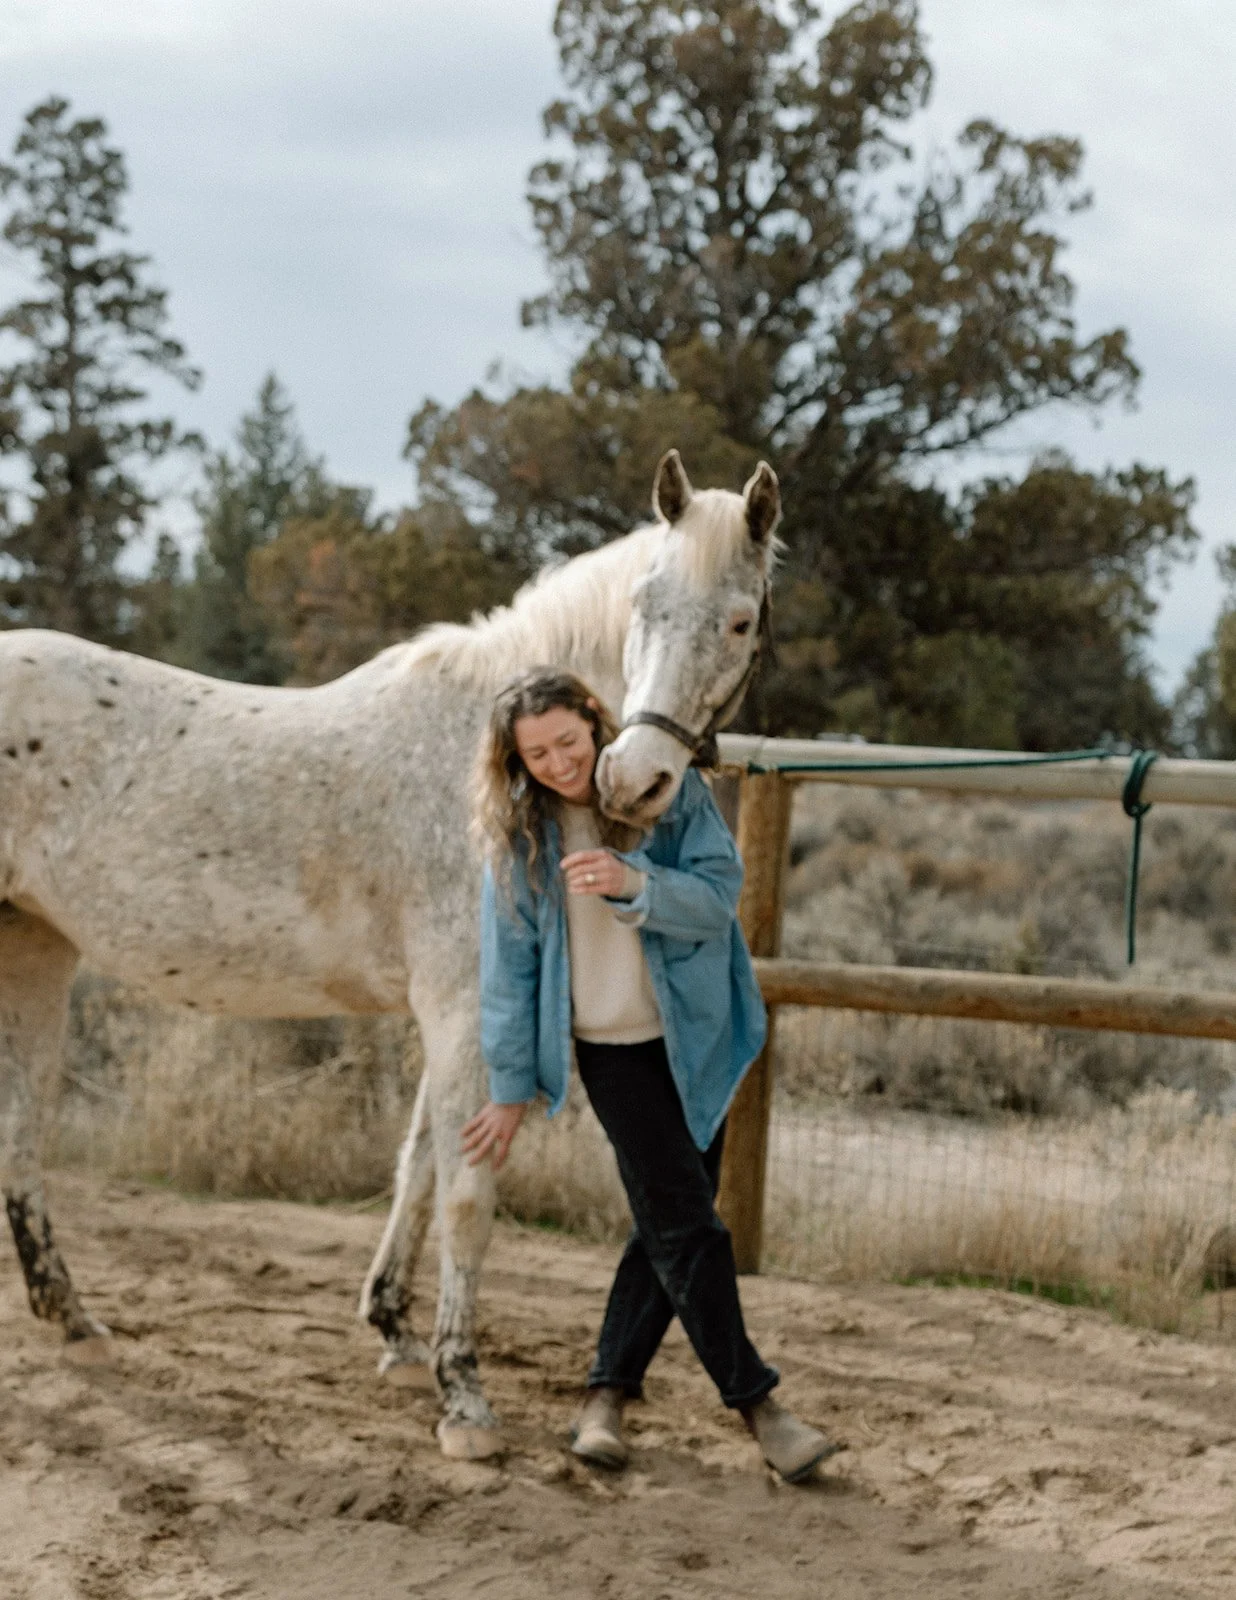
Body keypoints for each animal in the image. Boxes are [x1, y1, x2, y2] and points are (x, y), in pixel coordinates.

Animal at [0, 448, 782, 1459]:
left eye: (738, 619)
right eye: (644, 605)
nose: (633, 781)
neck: (481, 757)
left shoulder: (459, 1014)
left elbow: (418, 1166)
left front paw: (397, 1334)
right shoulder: (461, 1009)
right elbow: (465, 1195)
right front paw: (464, 1399)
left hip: (36, 950)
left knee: (22, 1132)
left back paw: (74, 1320)